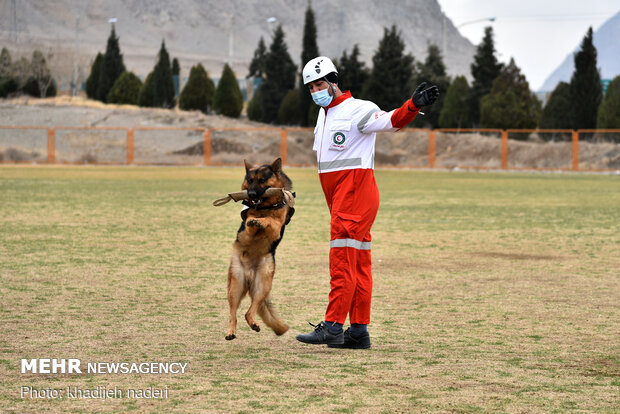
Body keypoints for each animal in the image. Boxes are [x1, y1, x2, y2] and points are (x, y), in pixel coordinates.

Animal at [225, 158, 296, 340]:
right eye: (250, 181)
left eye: (262, 180)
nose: (250, 194)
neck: (265, 206)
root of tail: (250, 274)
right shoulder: (246, 230)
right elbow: (250, 220)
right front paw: (254, 220)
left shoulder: (276, 228)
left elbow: (270, 221)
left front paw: (261, 221)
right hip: (236, 286)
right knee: (234, 313)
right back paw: (230, 332)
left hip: (262, 285)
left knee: (249, 311)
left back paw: (254, 324)